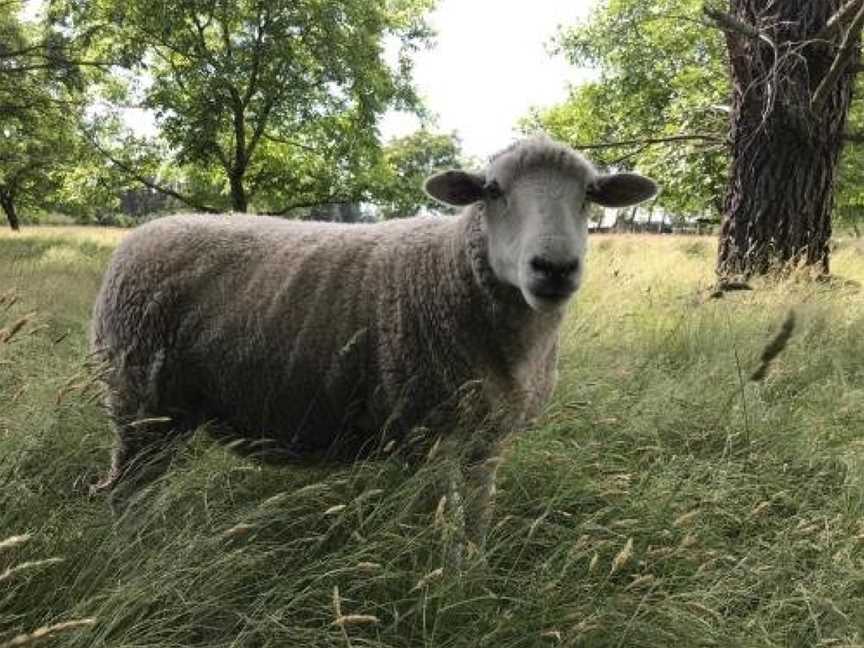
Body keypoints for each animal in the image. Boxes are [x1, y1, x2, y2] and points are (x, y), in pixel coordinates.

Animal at [89, 135, 656, 556]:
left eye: (590, 193)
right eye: (492, 190)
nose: (554, 268)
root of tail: (138, 237)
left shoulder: (488, 439)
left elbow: (478, 519)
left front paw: (474, 580)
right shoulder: (426, 434)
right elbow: (446, 529)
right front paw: (444, 590)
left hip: (167, 415)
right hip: (136, 400)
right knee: (119, 493)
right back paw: (127, 553)